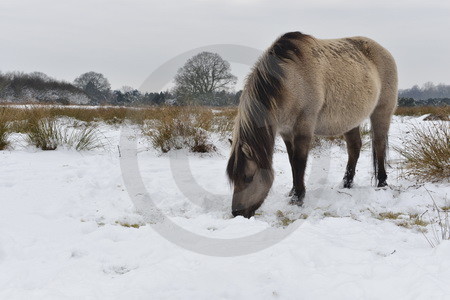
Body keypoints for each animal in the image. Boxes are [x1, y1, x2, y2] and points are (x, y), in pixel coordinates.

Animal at [229, 31, 398, 218]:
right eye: (232, 178)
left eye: (248, 177)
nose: (236, 212)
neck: (290, 80)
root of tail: (383, 51)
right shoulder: (286, 132)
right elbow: (292, 161)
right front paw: (293, 191)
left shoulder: (303, 127)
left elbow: (299, 161)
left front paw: (298, 197)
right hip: (349, 120)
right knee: (354, 147)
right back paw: (346, 183)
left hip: (381, 111)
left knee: (379, 145)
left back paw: (381, 183)